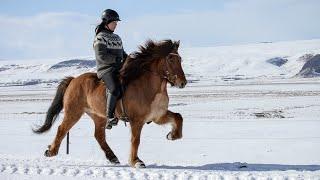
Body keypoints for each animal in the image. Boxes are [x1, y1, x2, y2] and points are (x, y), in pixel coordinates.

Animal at [32, 38, 188, 168]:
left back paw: (113, 157)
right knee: (62, 129)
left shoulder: (157, 116)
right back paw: (51, 151)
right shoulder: (137, 120)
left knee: (99, 135)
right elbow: (135, 140)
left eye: (180, 58)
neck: (149, 87)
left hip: (98, 116)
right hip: (73, 112)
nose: (183, 83)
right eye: (170, 59)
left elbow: (178, 116)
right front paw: (136, 162)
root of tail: (73, 80)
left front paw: (172, 135)